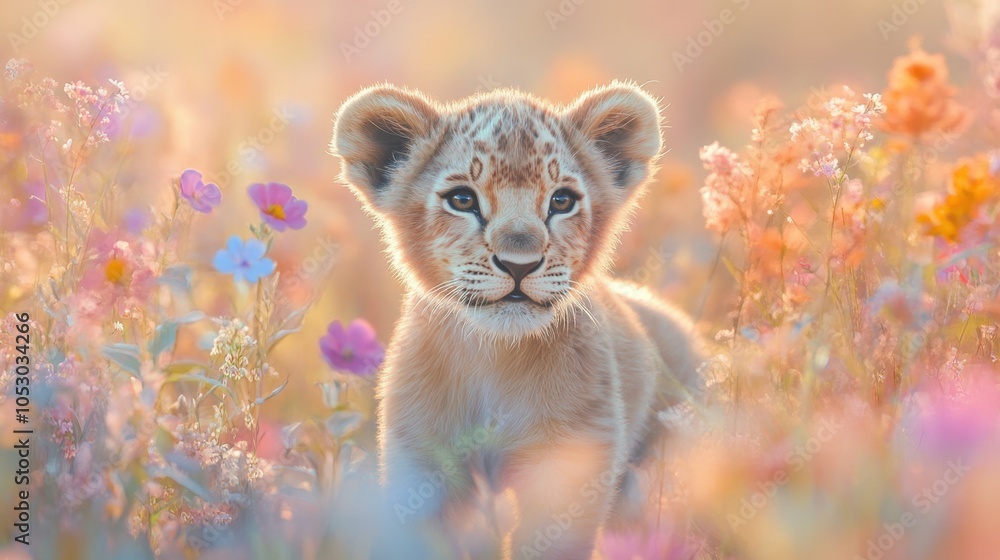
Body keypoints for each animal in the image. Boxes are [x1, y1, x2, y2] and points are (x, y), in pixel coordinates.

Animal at [331, 82, 705, 559]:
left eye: (562, 200)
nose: (518, 264)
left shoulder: (568, 470)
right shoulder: (421, 464)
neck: (495, 360)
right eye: (462, 199)